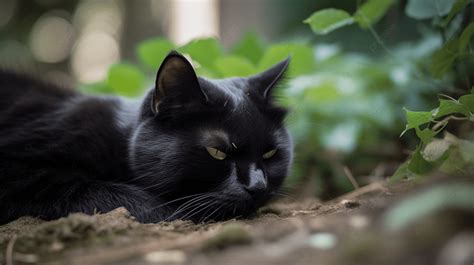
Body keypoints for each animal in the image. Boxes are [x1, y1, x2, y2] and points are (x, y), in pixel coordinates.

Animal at [0, 51, 292, 223]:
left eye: (270, 153)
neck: (119, 139)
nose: (258, 186)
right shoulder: (22, 171)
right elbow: (107, 192)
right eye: (217, 152)